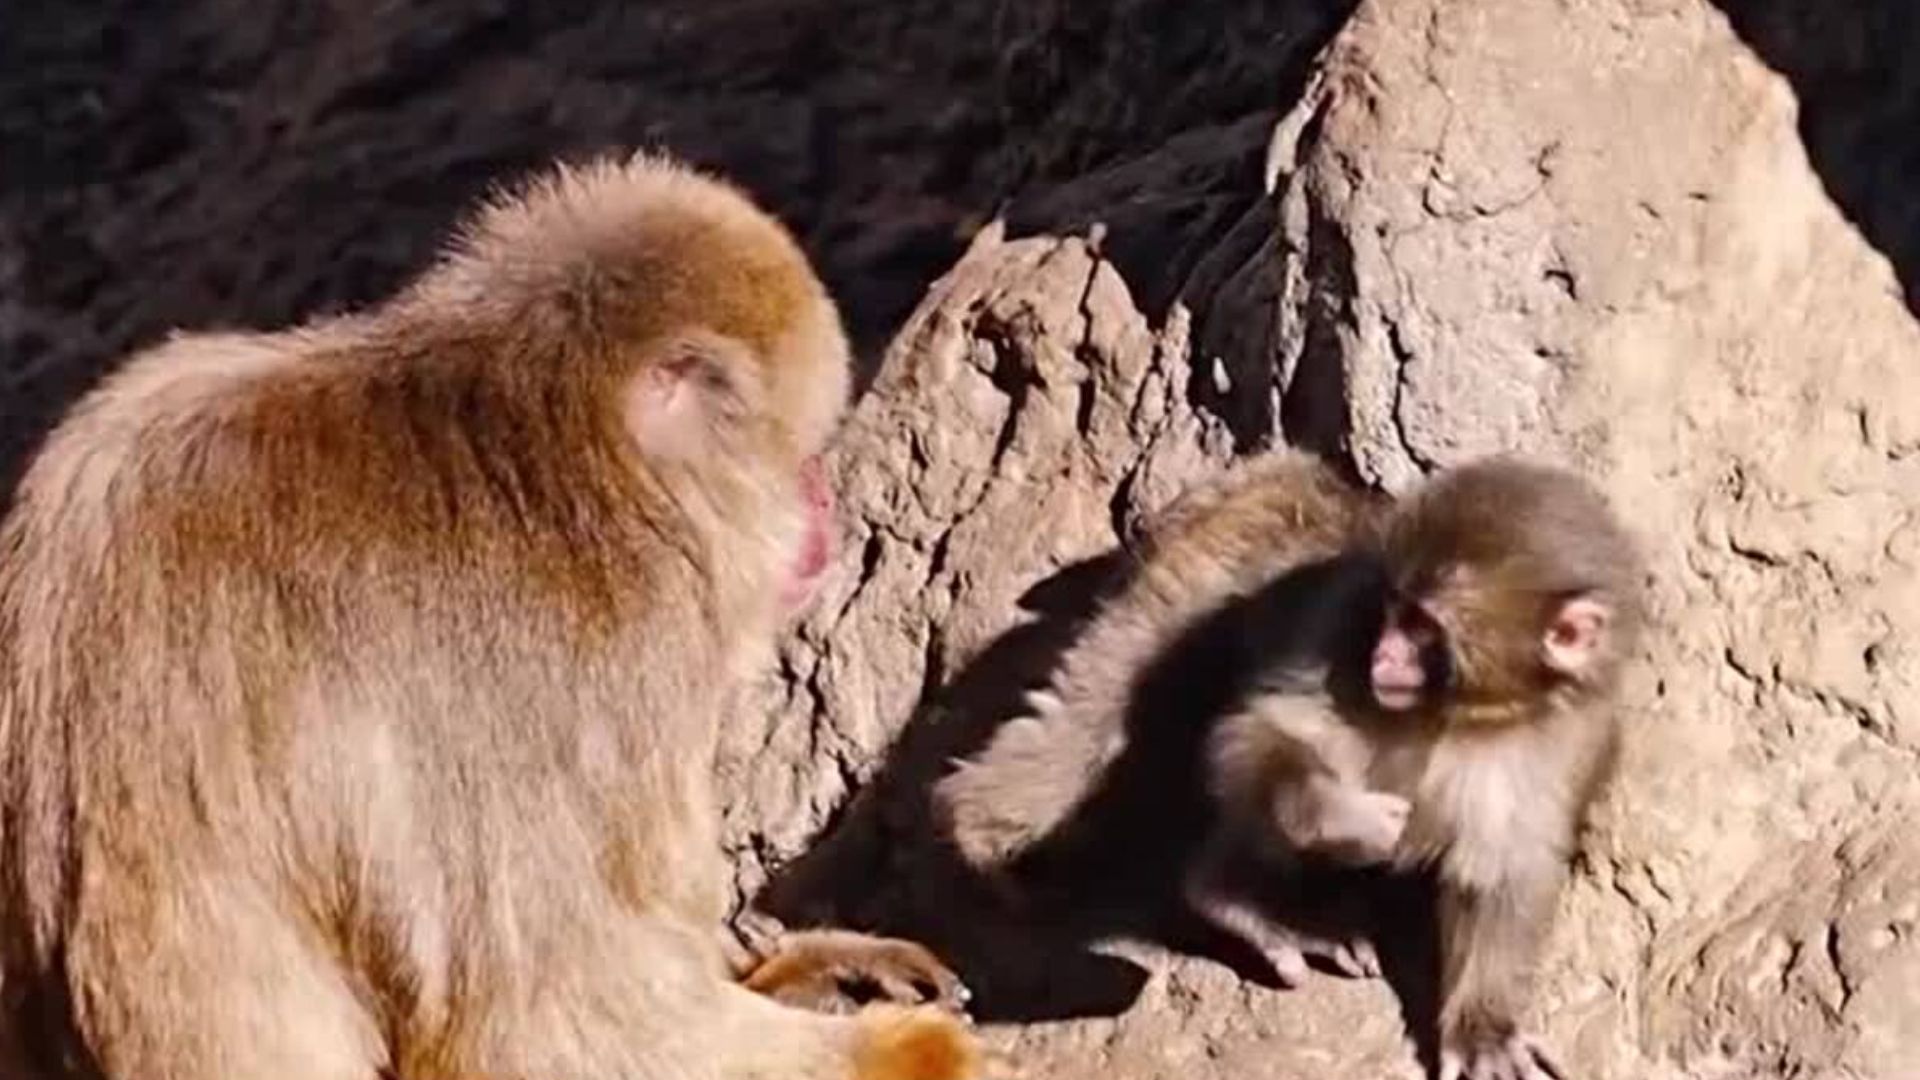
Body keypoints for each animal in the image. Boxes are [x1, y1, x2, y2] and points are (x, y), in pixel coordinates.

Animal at [0, 153, 982, 1080]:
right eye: (799, 459)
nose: (820, 505)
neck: (576, 472)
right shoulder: (593, 656)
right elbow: (532, 1026)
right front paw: (905, 1053)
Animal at [934, 452, 1642, 1080]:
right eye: (1394, 608)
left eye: (1422, 627)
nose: (1384, 655)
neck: (1461, 714)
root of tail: (1298, 477)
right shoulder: (1340, 644)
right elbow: (1258, 734)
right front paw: (1345, 816)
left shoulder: (1567, 741)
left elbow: (1504, 871)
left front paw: (1484, 1027)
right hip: (1189, 581)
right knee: (1095, 721)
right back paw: (981, 833)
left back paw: (1232, 892)